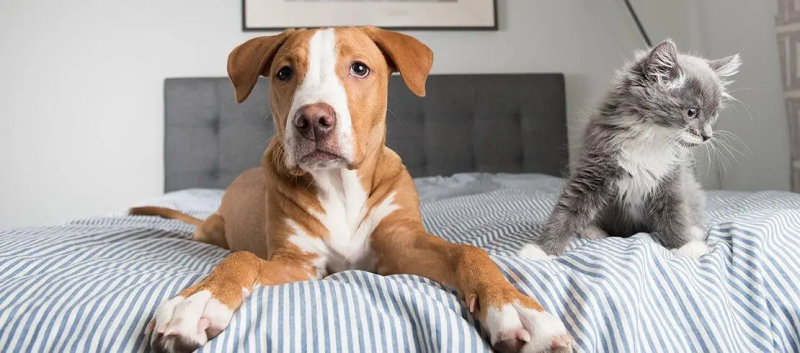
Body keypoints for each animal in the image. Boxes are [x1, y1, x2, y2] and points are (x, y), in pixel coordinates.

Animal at [131, 26, 576, 350]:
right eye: (284, 73)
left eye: (360, 69)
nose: (313, 120)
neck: (339, 184)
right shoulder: (297, 263)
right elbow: (244, 258)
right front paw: (199, 300)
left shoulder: (400, 244)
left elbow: (468, 252)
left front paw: (516, 308)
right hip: (212, 229)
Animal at [520, 39, 736, 258]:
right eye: (691, 112)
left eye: (714, 115)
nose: (707, 135)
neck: (651, 139)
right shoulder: (592, 170)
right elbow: (568, 210)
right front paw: (542, 250)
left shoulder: (671, 179)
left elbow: (676, 213)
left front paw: (686, 245)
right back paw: (592, 230)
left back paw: (695, 230)